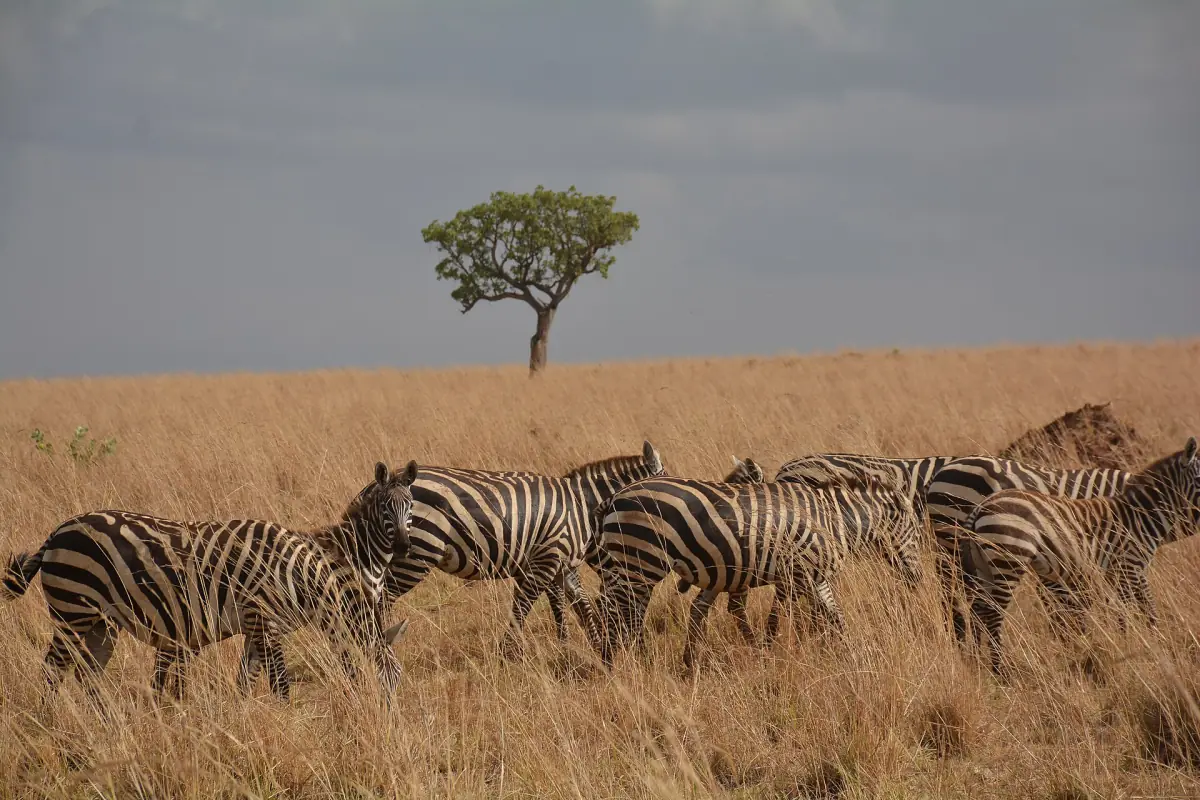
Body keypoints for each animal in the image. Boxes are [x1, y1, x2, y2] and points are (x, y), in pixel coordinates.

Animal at [2, 461, 418, 705]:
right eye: (383, 683)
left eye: (411, 507)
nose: (388, 724)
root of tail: (57, 531)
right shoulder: (262, 618)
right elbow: (280, 682)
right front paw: (282, 720)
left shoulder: (257, 623)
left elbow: (246, 678)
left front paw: (248, 718)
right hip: (72, 610)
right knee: (52, 670)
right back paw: (53, 723)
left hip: (101, 622)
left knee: (87, 674)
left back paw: (105, 726)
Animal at [382, 441, 665, 656]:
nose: (641, 652)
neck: (582, 507)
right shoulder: (546, 561)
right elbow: (524, 608)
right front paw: (506, 655)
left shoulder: (561, 564)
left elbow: (575, 606)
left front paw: (582, 649)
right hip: (417, 554)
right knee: (382, 598)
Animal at [592, 475, 924, 670]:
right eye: (914, 531)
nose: (919, 580)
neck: (835, 522)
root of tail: (615, 496)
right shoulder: (797, 573)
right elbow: (778, 617)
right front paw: (767, 652)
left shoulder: (815, 576)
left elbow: (835, 616)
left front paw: (852, 656)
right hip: (642, 562)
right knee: (622, 613)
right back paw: (627, 663)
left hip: (631, 565)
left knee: (619, 611)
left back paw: (622, 661)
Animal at [959, 437, 1200, 675]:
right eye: (1199, 480)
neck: (1137, 517)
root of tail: (981, 506)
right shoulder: (1128, 566)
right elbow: (1138, 608)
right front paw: (1141, 644)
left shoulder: (1122, 571)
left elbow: (1133, 610)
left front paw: (1141, 642)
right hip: (1008, 561)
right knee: (993, 613)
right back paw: (999, 669)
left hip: (984, 566)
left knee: (978, 609)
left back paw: (975, 663)